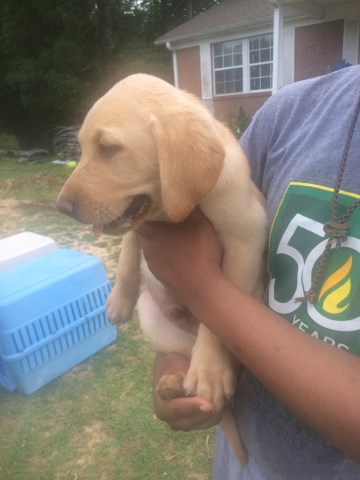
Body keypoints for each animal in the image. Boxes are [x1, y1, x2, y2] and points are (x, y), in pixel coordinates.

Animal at [57, 73, 266, 464]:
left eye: (108, 148)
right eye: (82, 148)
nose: (61, 207)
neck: (176, 211)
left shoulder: (246, 239)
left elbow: (216, 318)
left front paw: (210, 370)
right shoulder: (138, 225)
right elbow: (127, 252)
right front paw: (118, 301)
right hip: (154, 317)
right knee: (181, 354)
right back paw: (171, 385)